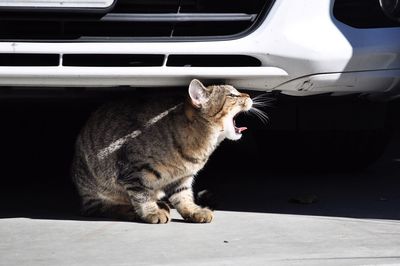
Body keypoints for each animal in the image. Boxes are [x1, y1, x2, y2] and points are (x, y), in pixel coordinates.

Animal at [71, 79, 252, 224]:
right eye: (232, 95)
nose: (249, 95)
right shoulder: (133, 171)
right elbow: (142, 195)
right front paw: (151, 212)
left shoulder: (182, 178)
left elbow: (183, 196)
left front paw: (193, 210)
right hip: (97, 189)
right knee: (99, 207)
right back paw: (136, 210)